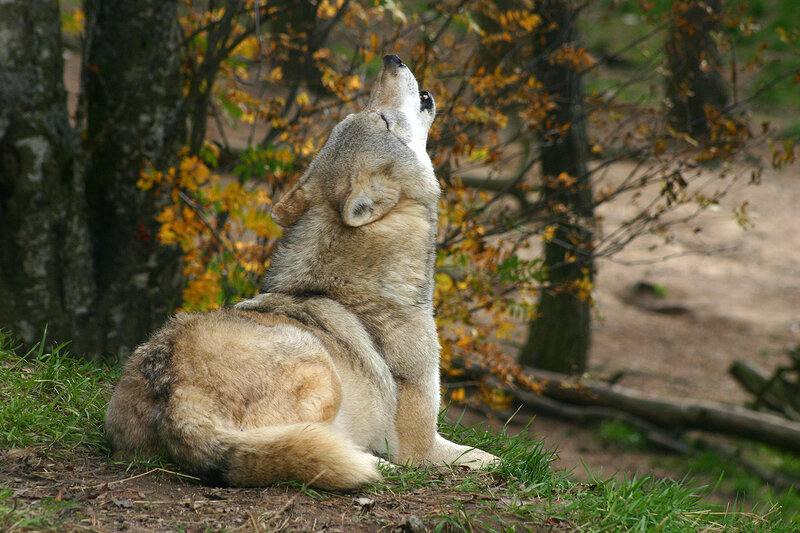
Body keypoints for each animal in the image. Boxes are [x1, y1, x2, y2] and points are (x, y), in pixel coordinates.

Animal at [105, 54, 498, 491]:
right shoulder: (421, 445)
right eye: (382, 120)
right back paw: (375, 466)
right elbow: (487, 458)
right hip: (318, 368)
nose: (391, 60)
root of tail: (177, 404)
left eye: (362, 113)